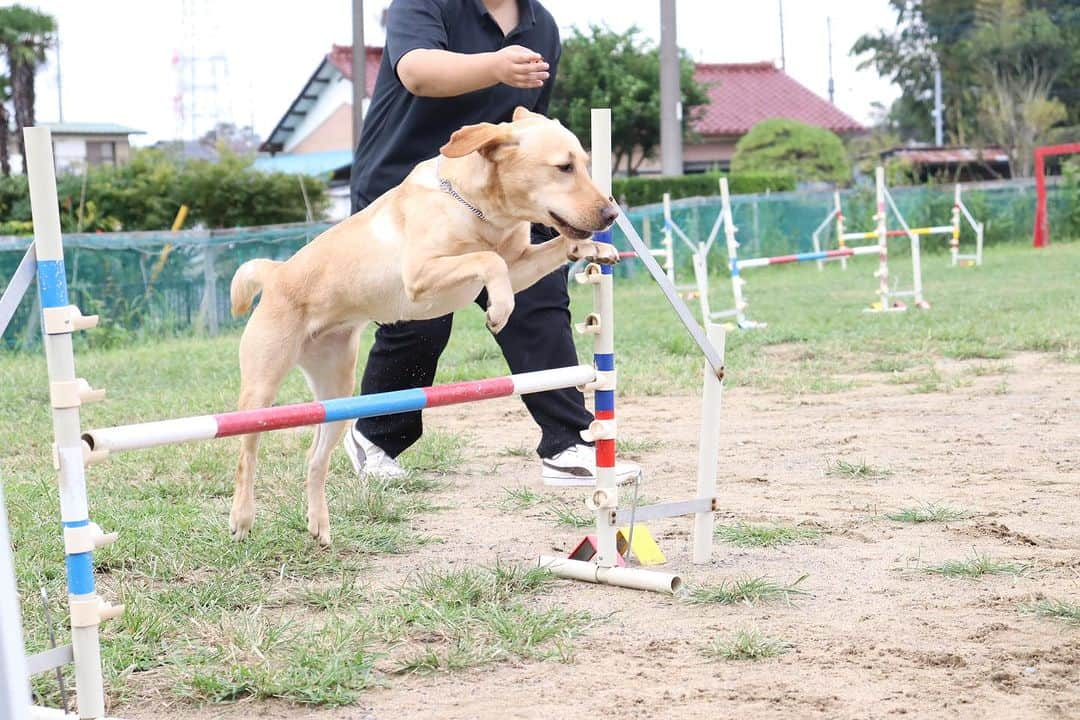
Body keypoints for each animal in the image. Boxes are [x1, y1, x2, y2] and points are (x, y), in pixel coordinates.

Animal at [227, 105, 617, 546]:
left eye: (586, 163)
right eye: (564, 167)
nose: (612, 214)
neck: (482, 210)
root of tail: (276, 274)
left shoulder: (520, 267)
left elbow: (542, 250)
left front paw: (593, 247)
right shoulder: (421, 274)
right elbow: (488, 260)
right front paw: (499, 309)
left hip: (337, 394)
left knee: (314, 460)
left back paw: (319, 527)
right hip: (261, 390)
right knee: (246, 455)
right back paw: (241, 520)